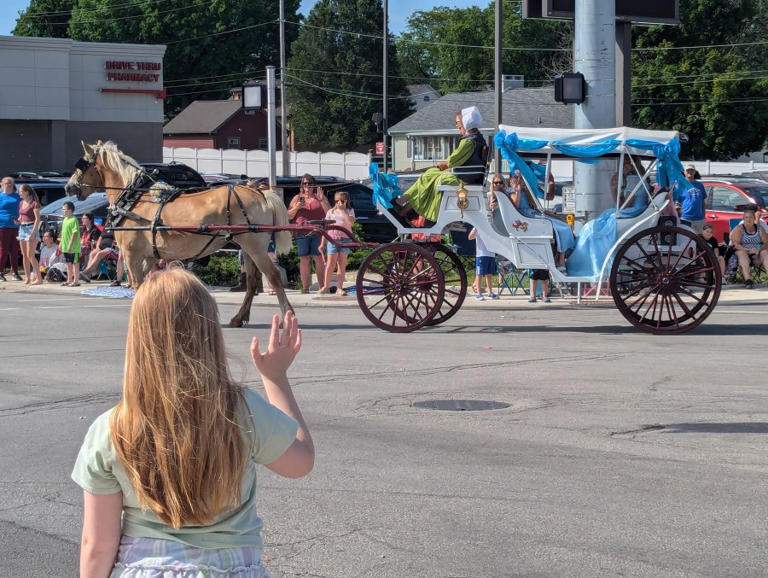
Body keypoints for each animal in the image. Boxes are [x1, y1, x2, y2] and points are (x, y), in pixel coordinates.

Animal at [64, 141, 292, 326]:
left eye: (82, 165)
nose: (68, 187)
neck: (134, 199)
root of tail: (261, 193)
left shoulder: (131, 255)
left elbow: (137, 285)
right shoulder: (149, 256)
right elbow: (148, 285)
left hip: (254, 246)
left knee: (272, 276)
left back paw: (287, 315)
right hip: (246, 246)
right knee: (253, 281)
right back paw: (239, 318)